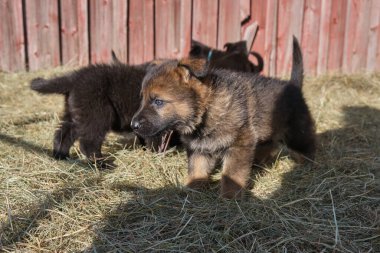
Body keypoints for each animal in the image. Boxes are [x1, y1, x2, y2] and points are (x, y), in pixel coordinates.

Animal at [132, 36, 316, 199]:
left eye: (158, 101)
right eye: (142, 99)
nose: (133, 126)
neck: (207, 109)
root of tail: (292, 86)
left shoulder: (239, 144)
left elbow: (231, 175)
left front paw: (229, 197)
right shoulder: (199, 148)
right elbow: (197, 169)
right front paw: (193, 189)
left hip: (297, 133)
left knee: (308, 147)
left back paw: (309, 167)